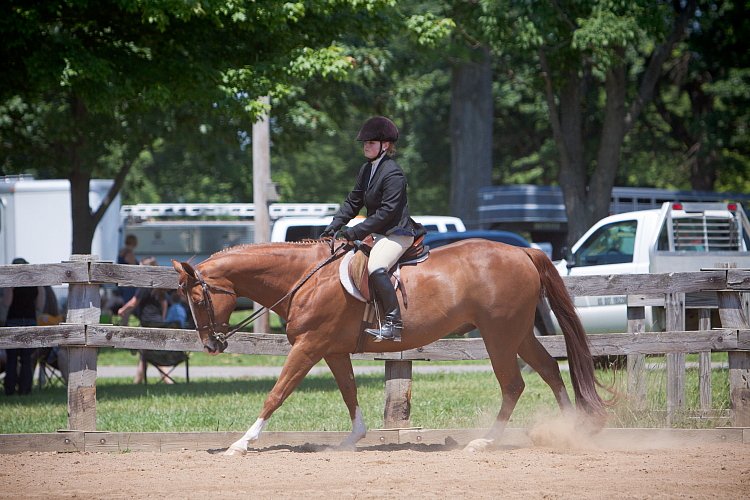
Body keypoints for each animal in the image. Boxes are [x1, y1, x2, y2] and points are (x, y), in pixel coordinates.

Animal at [173, 240, 608, 456]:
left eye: (196, 299)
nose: (211, 345)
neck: (305, 277)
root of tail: (524, 252)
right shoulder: (331, 349)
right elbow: (348, 391)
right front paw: (352, 439)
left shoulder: (308, 346)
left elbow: (276, 393)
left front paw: (241, 443)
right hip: (517, 334)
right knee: (549, 370)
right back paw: (570, 432)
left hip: (499, 335)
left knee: (514, 385)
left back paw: (485, 442)